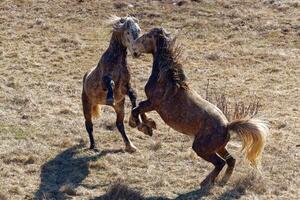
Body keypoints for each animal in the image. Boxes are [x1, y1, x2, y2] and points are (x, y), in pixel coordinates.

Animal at [81, 16, 141, 152]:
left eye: (139, 30)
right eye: (128, 32)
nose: (136, 53)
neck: (117, 62)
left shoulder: (124, 88)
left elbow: (133, 94)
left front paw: (134, 120)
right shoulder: (104, 83)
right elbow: (110, 83)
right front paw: (109, 97)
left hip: (119, 107)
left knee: (119, 124)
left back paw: (130, 146)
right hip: (87, 105)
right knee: (89, 125)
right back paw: (93, 146)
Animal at [130, 28, 268, 186]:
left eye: (146, 36)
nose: (133, 48)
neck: (167, 78)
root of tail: (227, 126)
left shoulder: (154, 103)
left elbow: (136, 109)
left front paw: (142, 126)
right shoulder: (151, 103)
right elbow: (139, 108)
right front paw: (149, 126)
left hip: (201, 148)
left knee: (220, 163)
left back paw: (206, 181)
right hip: (219, 147)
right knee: (231, 160)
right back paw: (223, 181)